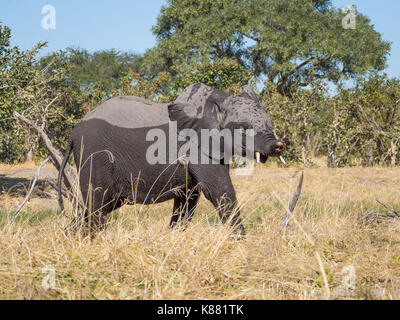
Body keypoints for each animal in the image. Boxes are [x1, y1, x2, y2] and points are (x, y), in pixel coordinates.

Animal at [57, 84, 286, 236]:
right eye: (244, 128)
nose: (279, 145)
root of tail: (73, 135)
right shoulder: (196, 146)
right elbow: (219, 190)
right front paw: (241, 245)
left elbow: (189, 197)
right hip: (95, 154)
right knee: (97, 202)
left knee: (99, 205)